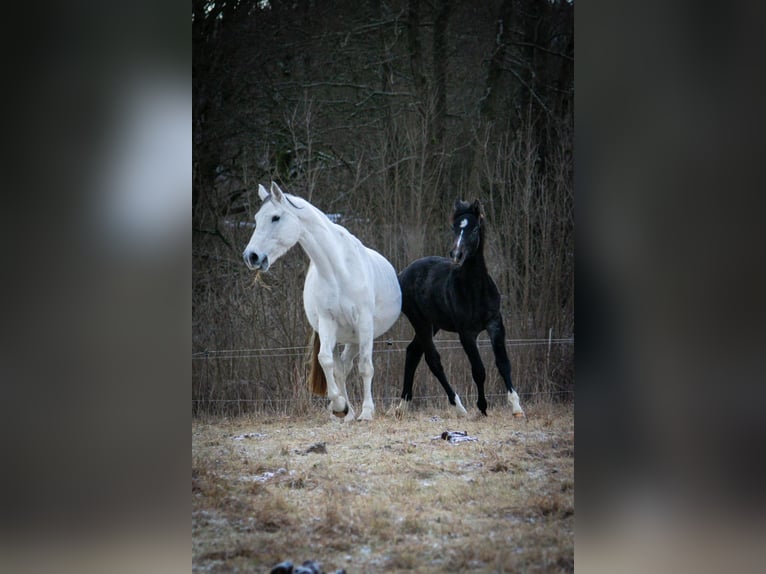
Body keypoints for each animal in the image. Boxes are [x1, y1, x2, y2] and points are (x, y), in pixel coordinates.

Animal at [242, 182, 401, 421]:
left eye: (275, 217)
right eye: (256, 218)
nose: (251, 256)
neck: (338, 271)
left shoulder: (364, 324)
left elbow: (366, 367)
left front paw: (366, 412)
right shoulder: (328, 322)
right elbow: (325, 359)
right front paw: (339, 406)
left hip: (356, 338)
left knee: (349, 366)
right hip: (346, 337)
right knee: (340, 368)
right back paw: (348, 412)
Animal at [395, 199, 524, 418]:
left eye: (474, 229)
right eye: (454, 228)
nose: (456, 254)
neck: (475, 289)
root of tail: (402, 274)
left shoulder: (495, 324)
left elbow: (503, 363)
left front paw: (517, 408)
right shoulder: (466, 333)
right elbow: (478, 370)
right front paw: (482, 407)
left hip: (433, 324)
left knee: (413, 352)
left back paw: (402, 405)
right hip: (420, 321)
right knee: (433, 360)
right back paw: (459, 407)